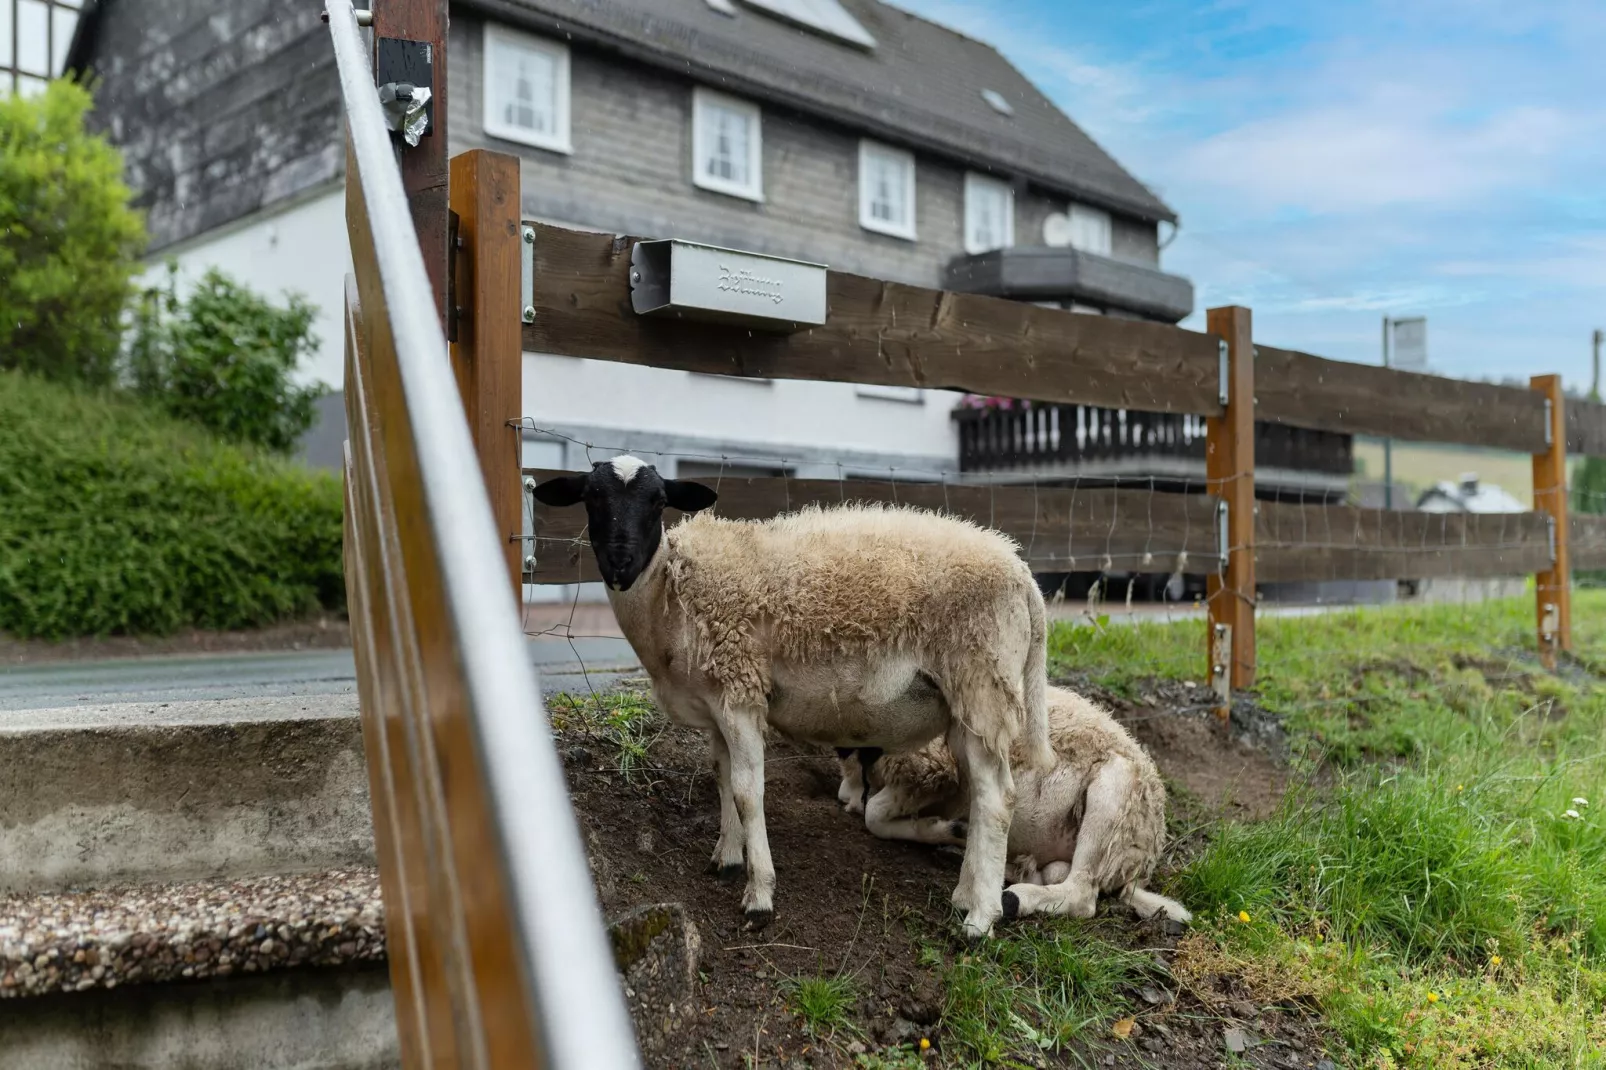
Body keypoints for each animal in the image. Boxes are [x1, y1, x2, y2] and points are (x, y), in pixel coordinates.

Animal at [529, 453, 1053, 938]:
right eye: (591, 498)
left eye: (658, 502)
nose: (620, 564)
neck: (669, 595)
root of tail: (1023, 574)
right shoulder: (717, 703)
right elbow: (721, 777)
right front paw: (726, 858)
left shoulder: (741, 692)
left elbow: (747, 791)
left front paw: (759, 894)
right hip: (965, 703)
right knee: (981, 793)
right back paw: (967, 895)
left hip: (982, 679)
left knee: (998, 799)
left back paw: (980, 920)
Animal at [841, 684, 1194, 925]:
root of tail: (1146, 857)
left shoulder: (934, 769)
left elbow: (874, 814)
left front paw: (941, 828)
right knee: (1055, 874)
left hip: (1113, 795)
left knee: (1081, 895)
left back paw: (1014, 898)